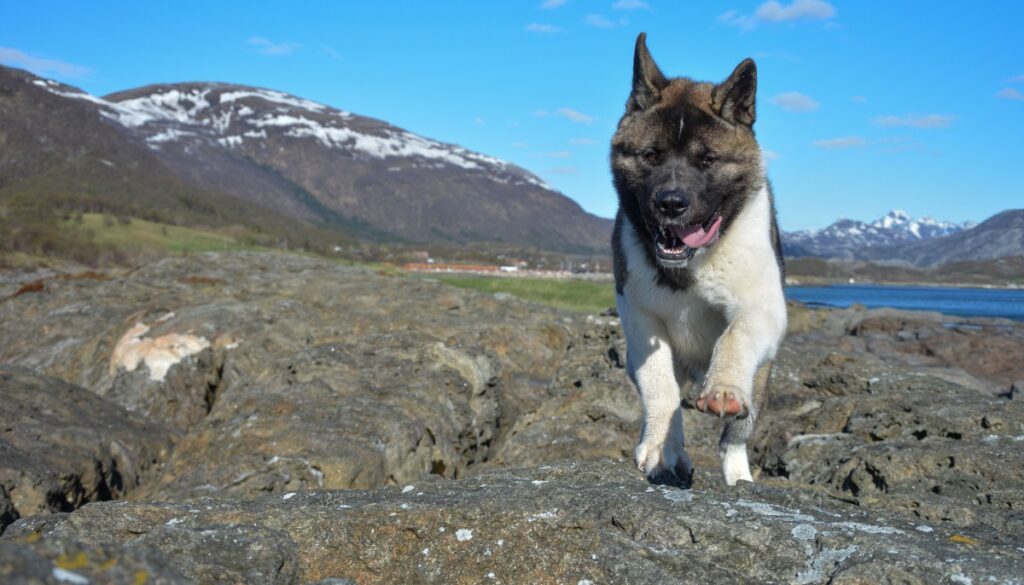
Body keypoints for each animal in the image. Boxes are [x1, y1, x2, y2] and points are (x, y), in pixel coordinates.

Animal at [610, 34, 786, 487]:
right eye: (650, 156)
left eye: (707, 160)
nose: (671, 203)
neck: (692, 262)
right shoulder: (641, 320)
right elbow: (660, 387)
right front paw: (662, 448)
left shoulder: (762, 307)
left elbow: (736, 334)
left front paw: (724, 388)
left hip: (763, 378)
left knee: (735, 437)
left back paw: (739, 476)